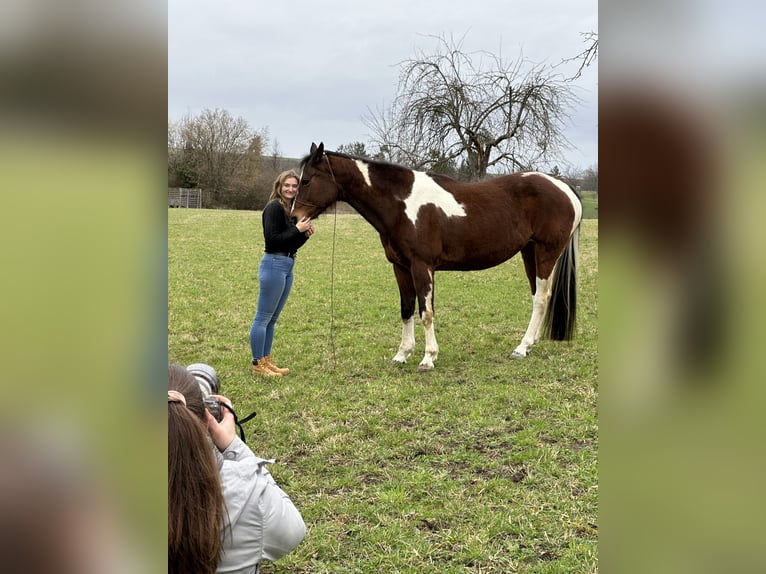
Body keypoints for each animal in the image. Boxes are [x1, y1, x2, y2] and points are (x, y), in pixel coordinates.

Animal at [294, 142, 584, 372]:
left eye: (307, 180)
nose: (294, 217)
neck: (402, 204)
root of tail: (564, 186)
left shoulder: (422, 266)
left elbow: (426, 312)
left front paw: (428, 358)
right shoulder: (401, 267)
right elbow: (406, 309)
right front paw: (402, 354)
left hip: (546, 253)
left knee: (542, 298)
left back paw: (522, 348)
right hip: (529, 252)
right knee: (537, 296)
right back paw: (528, 344)